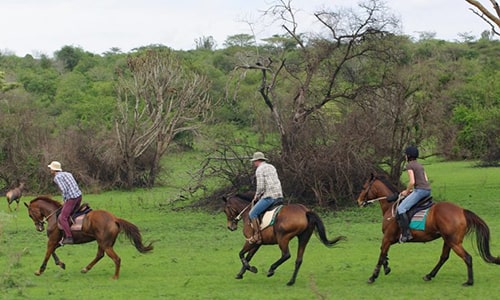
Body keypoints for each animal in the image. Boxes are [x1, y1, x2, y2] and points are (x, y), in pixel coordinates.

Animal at [24, 197, 152, 278]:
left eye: (30, 215)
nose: (39, 227)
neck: (54, 215)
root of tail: (114, 219)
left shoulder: (52, 240)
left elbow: (47, 253)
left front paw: (40, 271)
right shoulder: (57, 241)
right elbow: (53, 252)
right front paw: (60, 264)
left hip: (105, 244)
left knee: (116, 259)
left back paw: (115, 277)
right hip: (103, 242)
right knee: (100, 255)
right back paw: (85, 269)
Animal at [356, 173, 500, 286]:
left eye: (363, 187)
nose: (358, 201)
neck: (391, 206)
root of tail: (461, 211)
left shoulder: (387, 237)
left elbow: (381, 254)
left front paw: (373, 277)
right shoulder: (390, 239)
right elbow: (383, 252)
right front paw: (386, 268)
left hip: (454, 242)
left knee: (467, 257)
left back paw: (469, 282)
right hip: (448, 240)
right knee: (444, 257)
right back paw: (429, 275)